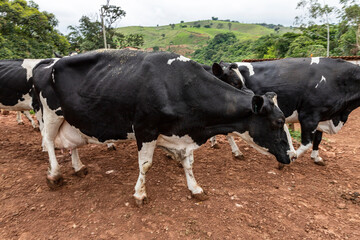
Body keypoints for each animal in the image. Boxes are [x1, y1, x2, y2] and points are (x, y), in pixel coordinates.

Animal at [32, 49, 292, 206]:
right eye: (279, 122)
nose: (290, 155)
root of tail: (48, 63)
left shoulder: (182, 131)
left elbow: (188, 163)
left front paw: (195, 188)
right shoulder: (145, 128)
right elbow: (145, 164)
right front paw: (140, 194)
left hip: (71, 118)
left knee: (70, 145)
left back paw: (78, 167)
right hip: (51, 112)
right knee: (49, 141)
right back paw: (55, 175)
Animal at [218, 57, 360, 167]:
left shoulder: (322, 116)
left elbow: (318, 139)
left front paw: (316, 157)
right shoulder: (309, 116)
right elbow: (306, 143)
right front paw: (289, 159)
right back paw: (236, 151)